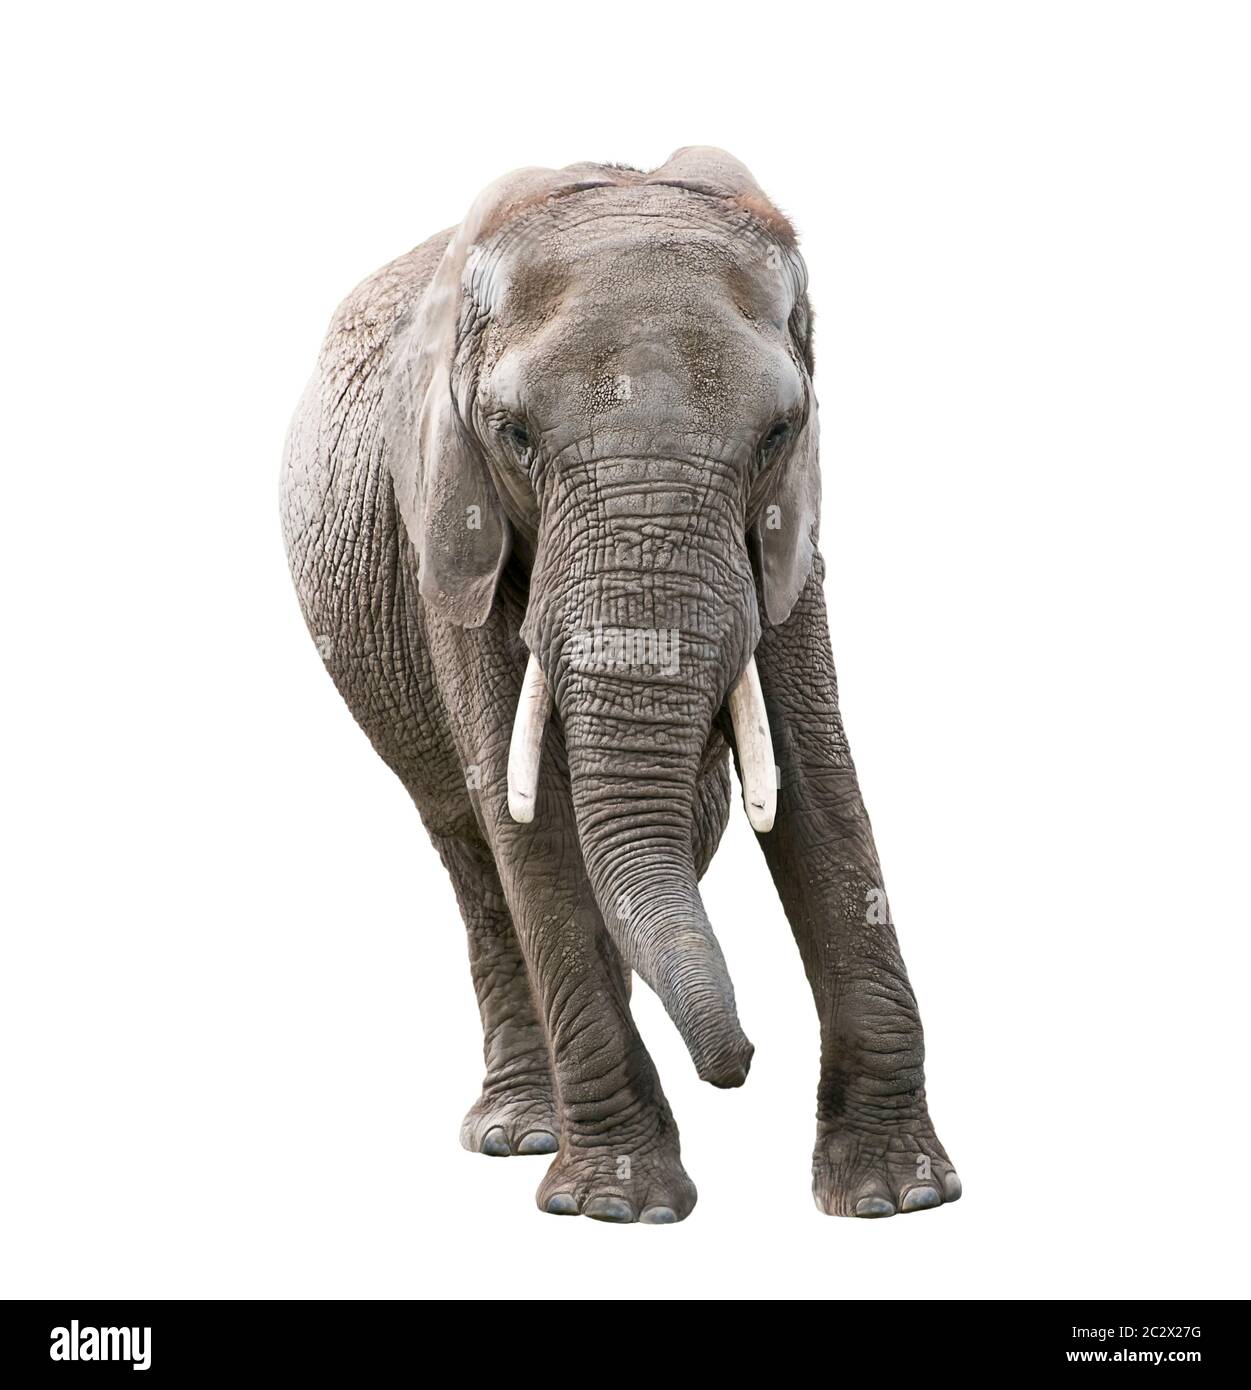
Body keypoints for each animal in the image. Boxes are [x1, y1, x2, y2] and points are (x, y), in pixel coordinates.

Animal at [281, 146, 959, 1223]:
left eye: (779, 432)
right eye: (513, 434)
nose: (741, 1065)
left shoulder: (789, 531)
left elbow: (815, 774)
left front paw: (901, 1196)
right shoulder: (447, 523)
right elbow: (526, 819)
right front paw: (618, 1205)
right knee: (473, 851)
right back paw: (521, 1132)